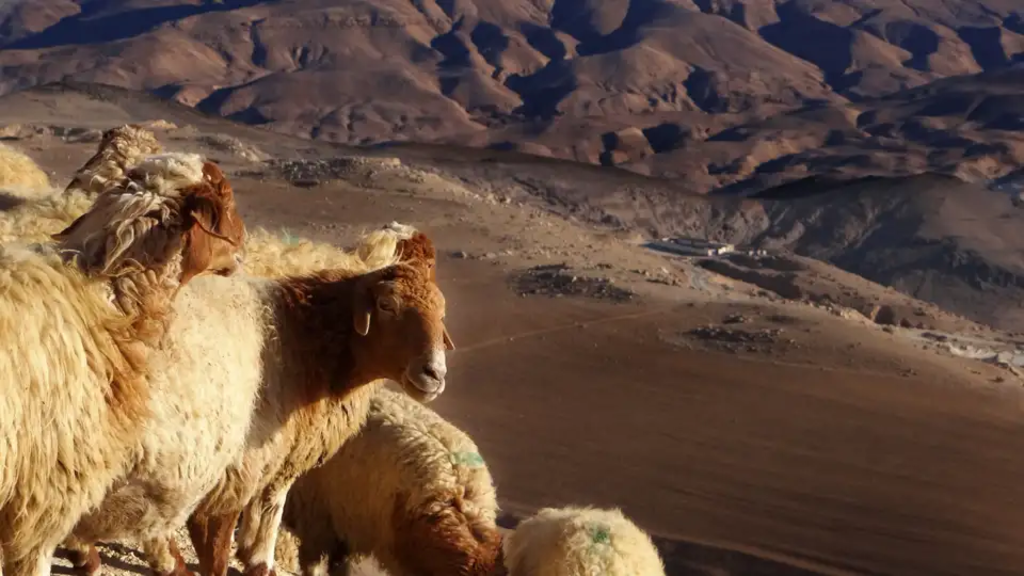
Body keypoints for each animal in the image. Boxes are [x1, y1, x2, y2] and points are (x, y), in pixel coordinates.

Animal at [59, 225, 455, 576]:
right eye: (386, 305)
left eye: (441, 312)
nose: (435, 373)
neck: (303, 338)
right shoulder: (237, 464)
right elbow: (223, 534)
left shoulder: (274, 452)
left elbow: (269, 502)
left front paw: (256, 556)